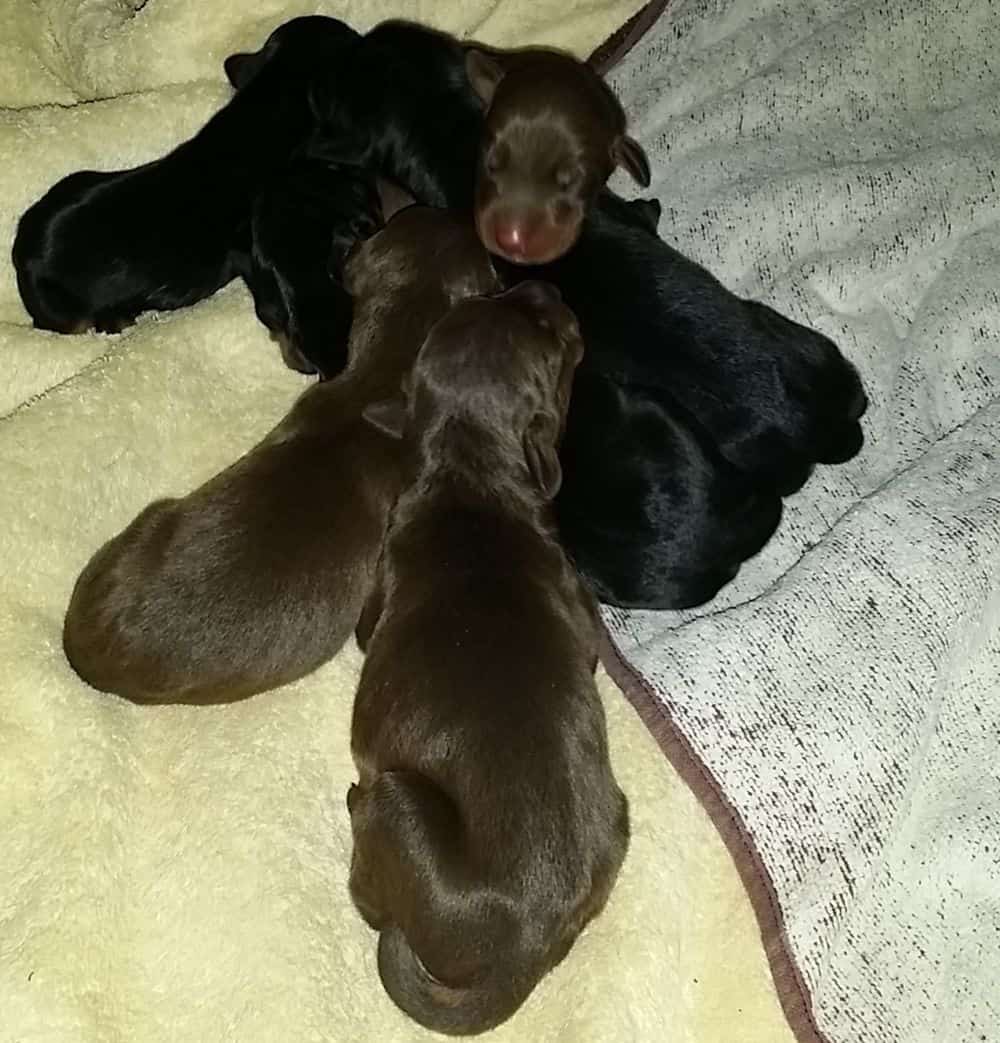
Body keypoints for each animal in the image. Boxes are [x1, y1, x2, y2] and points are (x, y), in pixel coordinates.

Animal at [346, 279, 625, 1034]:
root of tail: (526, 949)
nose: (541, 283)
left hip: (398, 801)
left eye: (559, 340)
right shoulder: (580, 604)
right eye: (501, 298)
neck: (470, 468)